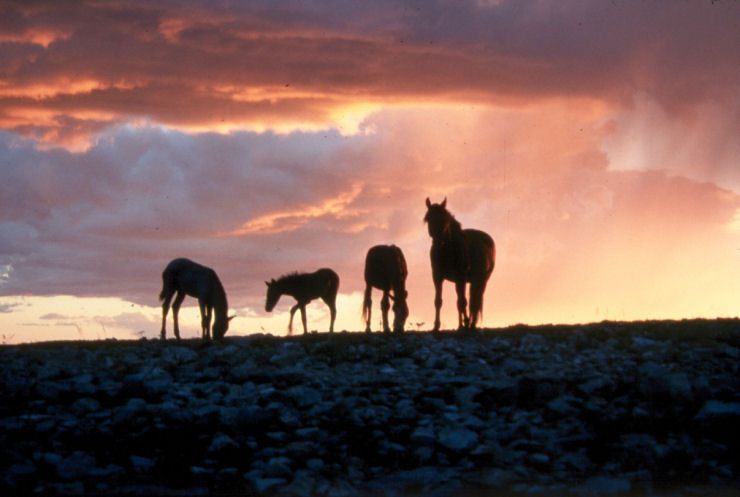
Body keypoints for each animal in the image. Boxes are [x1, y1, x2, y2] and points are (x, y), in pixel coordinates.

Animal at [424, 197, 494, 330]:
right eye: (428, 219)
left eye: (445, 220)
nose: (438, 243)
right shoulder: (437, 277)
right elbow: (439, 301)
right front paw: (436, 326)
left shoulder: (461, 277)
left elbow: (462, 302)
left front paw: (463, 325)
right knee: (469, 300)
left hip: (482, 280)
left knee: (475, 300)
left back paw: (471, 324)